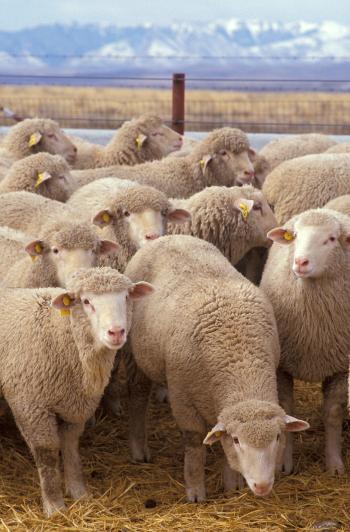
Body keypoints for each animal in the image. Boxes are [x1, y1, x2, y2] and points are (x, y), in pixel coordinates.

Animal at [0, 266, 154, 516]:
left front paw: (78, 492)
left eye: (126, 297)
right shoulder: (30, 404)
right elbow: (47, 453)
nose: (116, 332)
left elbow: (71, 446)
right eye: (86, 301)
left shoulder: (76, 403)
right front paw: (54, 505)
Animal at [121, 235, 308, 500]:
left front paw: (232, 485)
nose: (262, 486)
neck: (241, 363)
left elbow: (221, 443)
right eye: (238, 440)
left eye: (278, 437)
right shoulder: (183, 398)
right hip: (133, 355)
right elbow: (194, 444)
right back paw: (139, 449)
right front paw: (195, 490)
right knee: (137, 397)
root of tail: (170, 237)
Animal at [260, 208, 350, 474]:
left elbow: (332, 413)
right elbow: (286, 409)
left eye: (331, 239)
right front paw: (284, 463)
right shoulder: (282, 365)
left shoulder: (340, 366)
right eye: (296, 236)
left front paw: (334, 463)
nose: (300, 262)